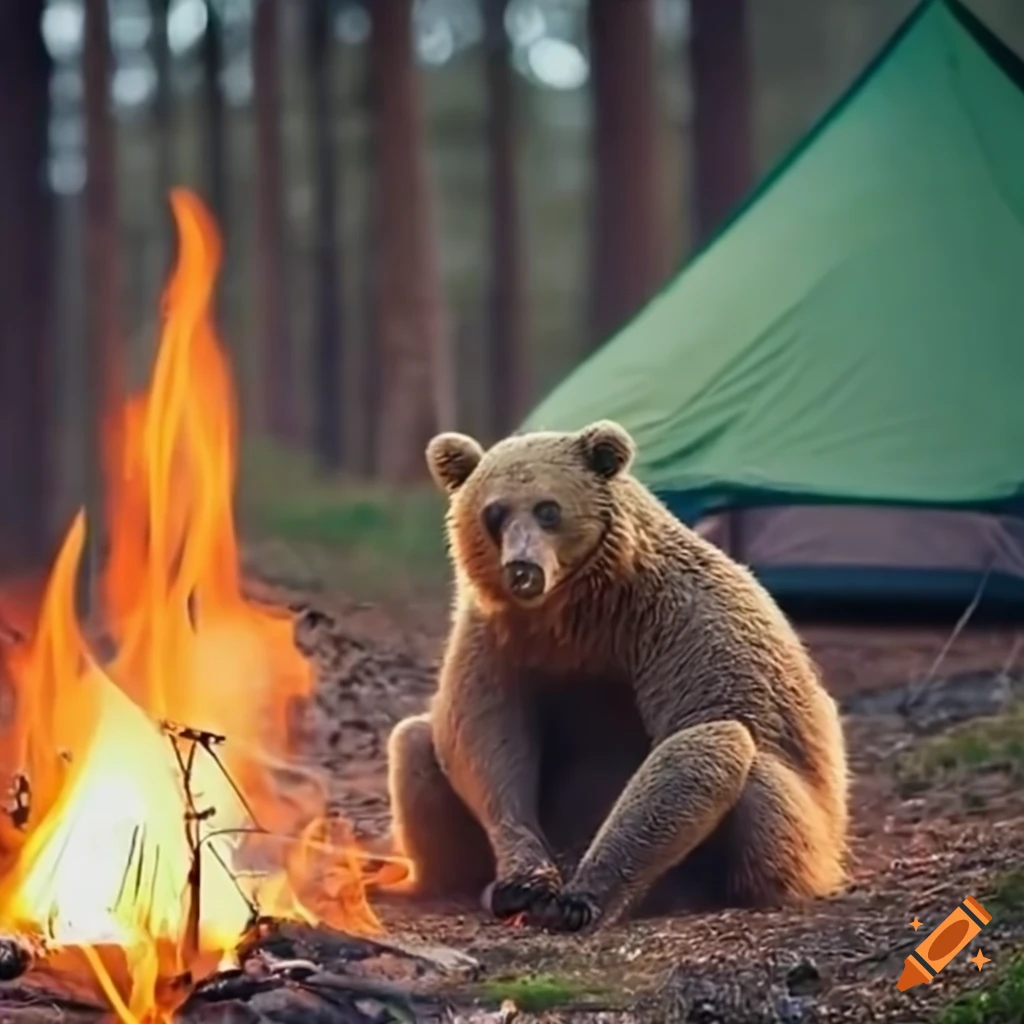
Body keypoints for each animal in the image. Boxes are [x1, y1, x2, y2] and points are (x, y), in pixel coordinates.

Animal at [385, 420, 848, 933]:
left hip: (809, 830)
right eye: (495, 511)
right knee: (413, 742)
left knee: (756, 774)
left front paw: (579, 898)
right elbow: (482, 737)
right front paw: (524, 882)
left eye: (548, 509)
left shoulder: (682, 624)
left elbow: (699, 738)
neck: (577, 616)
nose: (523, 569)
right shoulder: (497, 636)